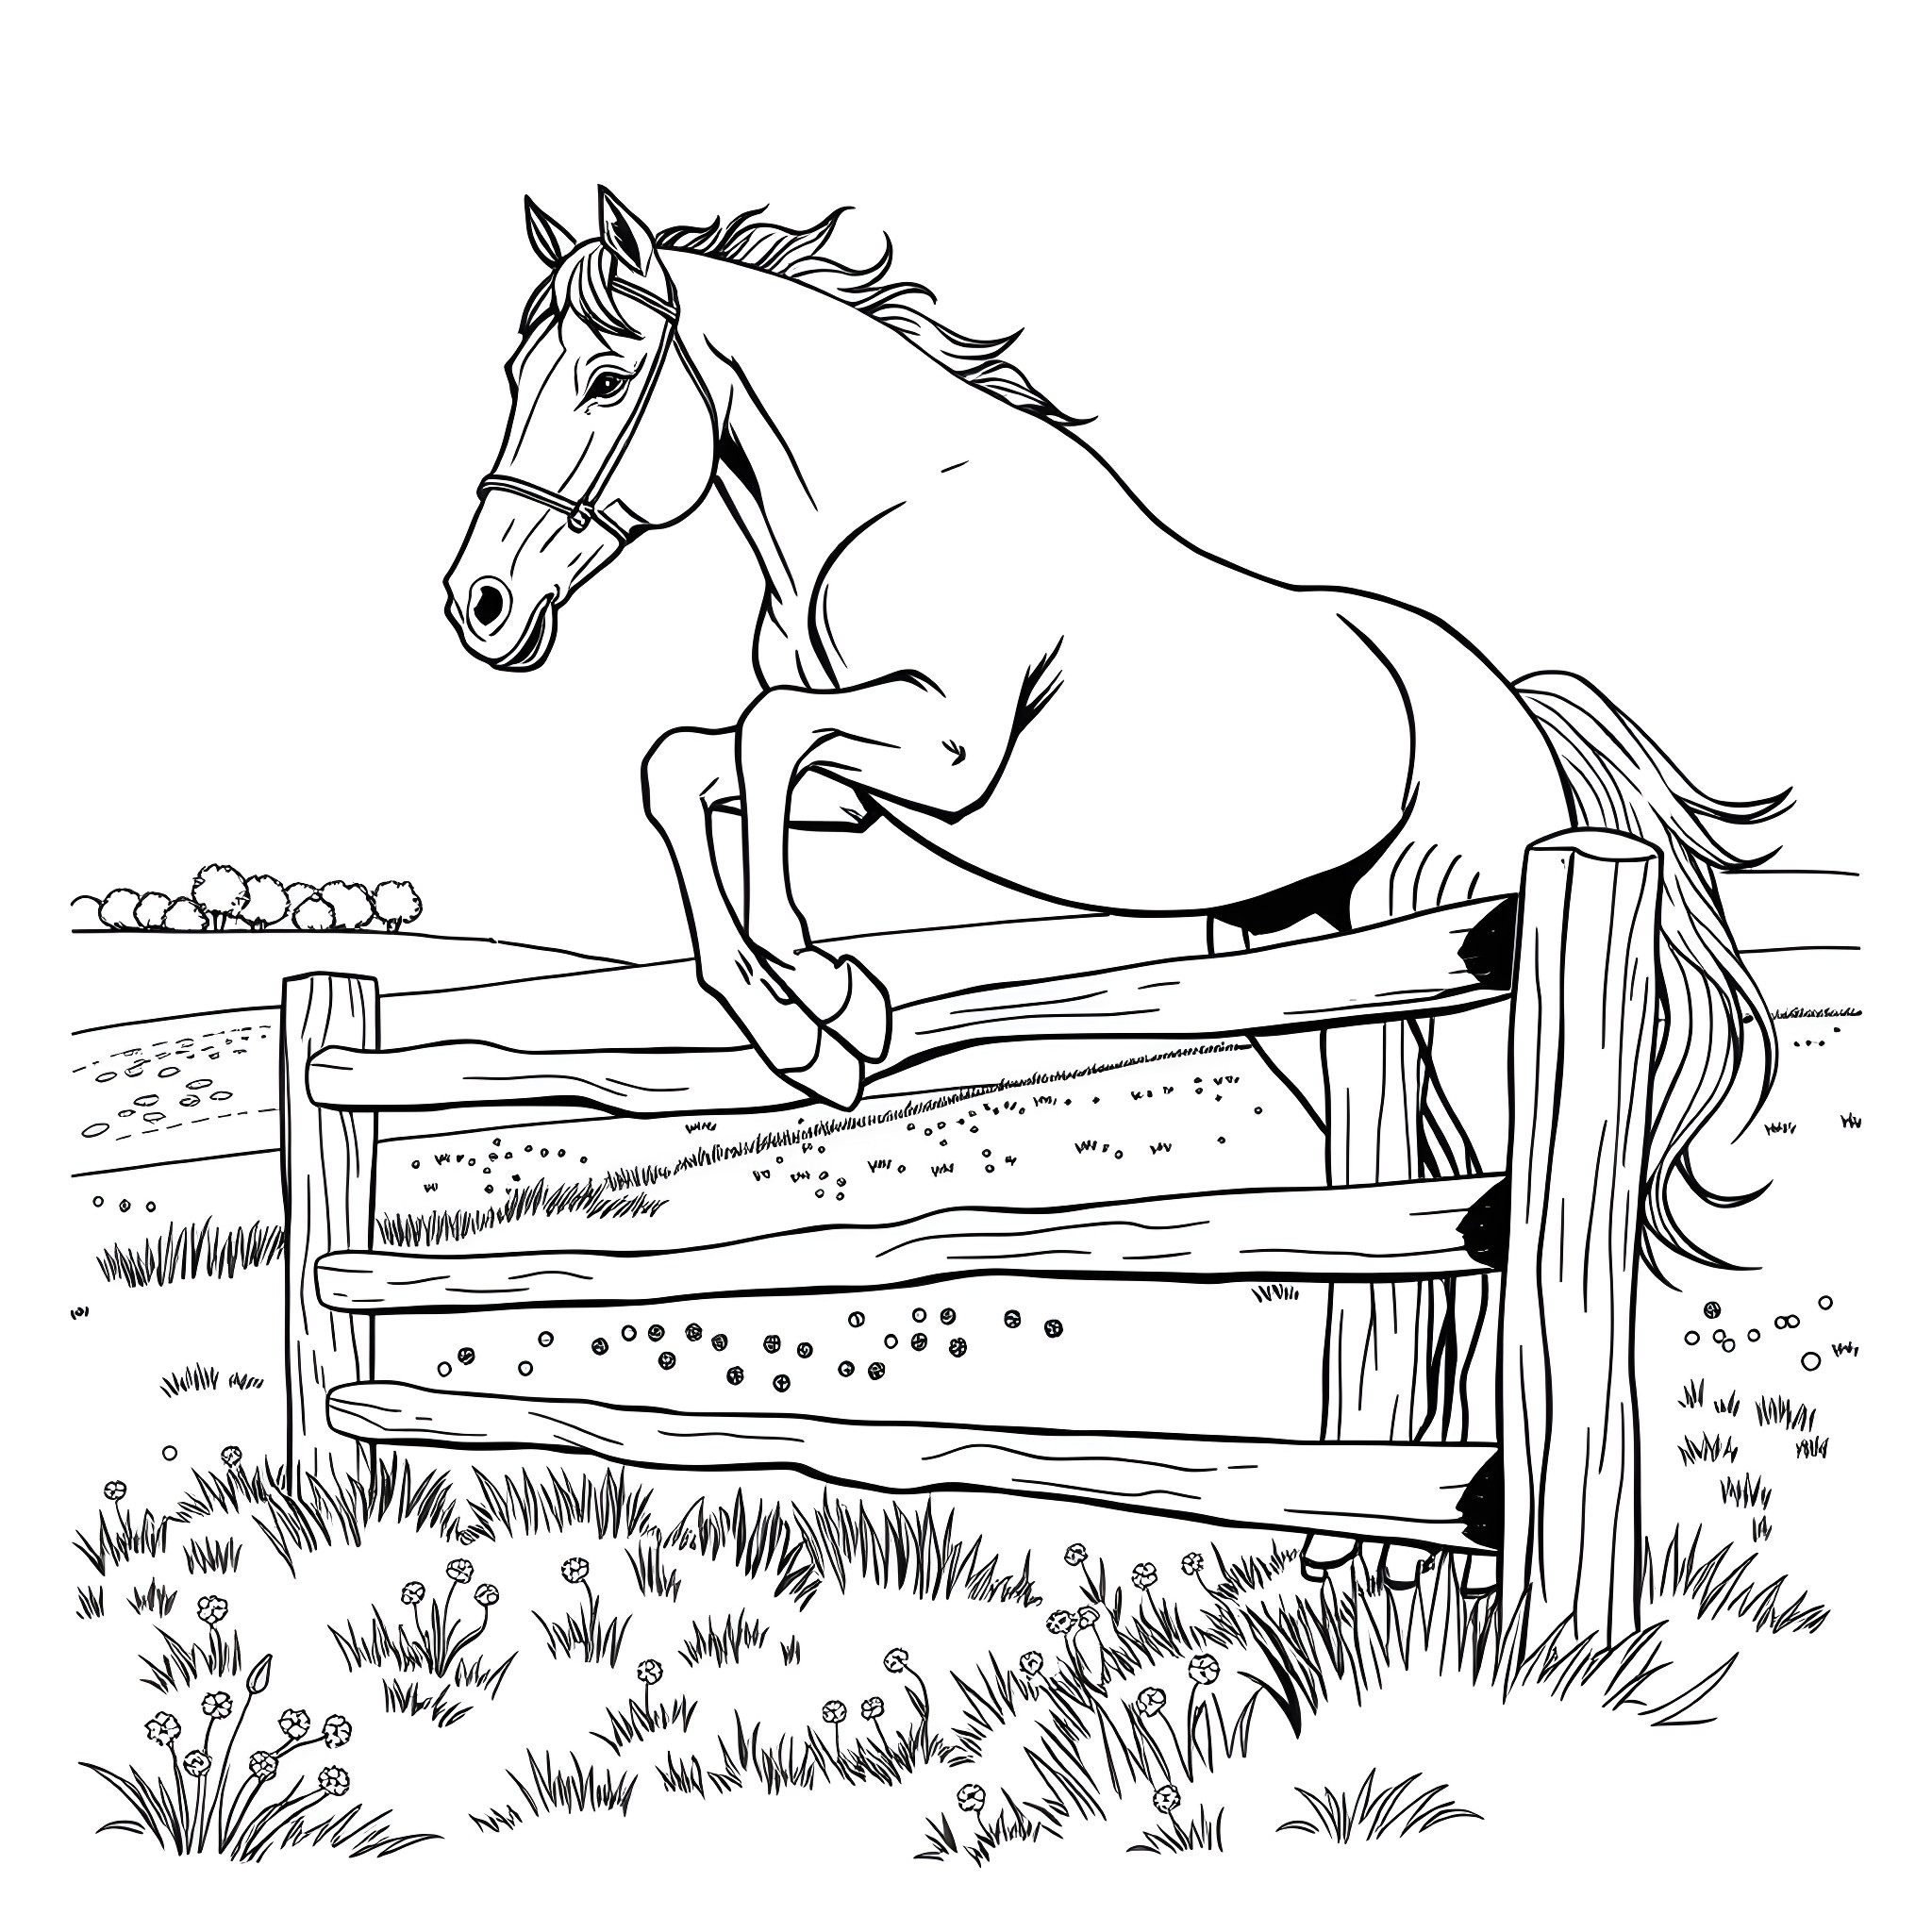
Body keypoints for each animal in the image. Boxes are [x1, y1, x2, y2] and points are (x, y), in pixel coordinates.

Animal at [443, 190, 1783, 1499]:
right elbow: (682, 766)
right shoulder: (860, 791)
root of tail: (1515, 711)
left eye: (606, 377)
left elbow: (765, 742)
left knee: (1500, 1178)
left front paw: (828, 1012)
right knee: (1429, 1182)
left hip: (1445, 954)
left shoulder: (938, 749)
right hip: (1294, 974)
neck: (889, 510)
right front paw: (785, 1014)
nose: (483, 608)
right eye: (512, 371)